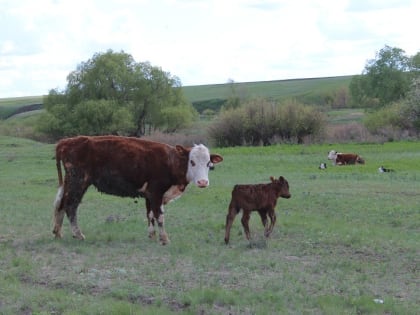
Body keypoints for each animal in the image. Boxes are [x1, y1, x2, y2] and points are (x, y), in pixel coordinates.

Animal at [52, 135, 223, 246]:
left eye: (209, 163)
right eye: (192, 162)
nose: (203, 182)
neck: (170, 162)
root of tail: (67, 141)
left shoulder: (149, 195)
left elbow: (150, 215)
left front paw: (152, 235)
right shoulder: (156, 192)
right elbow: (159, 216)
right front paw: (164, 239)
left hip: (69, 182)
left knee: (60, 204)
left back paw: (58, 232)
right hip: (78, 182)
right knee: (70, 206)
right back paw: (78, 234)